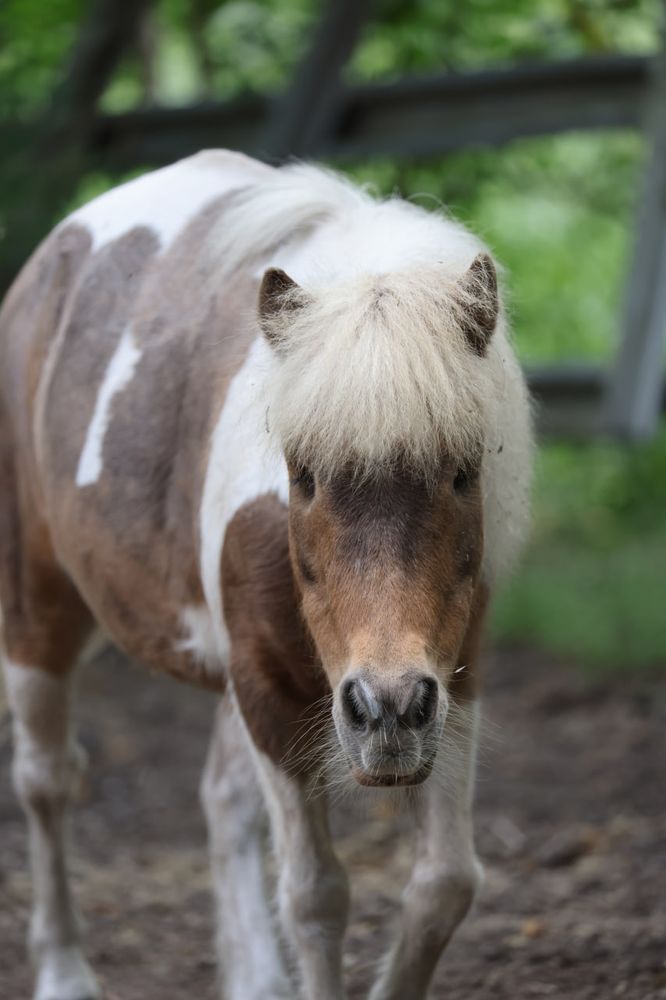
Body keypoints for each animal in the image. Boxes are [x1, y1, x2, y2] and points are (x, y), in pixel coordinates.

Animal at [0, 150, 532, 1000]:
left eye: (460, 472)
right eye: (304, 476)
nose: (385, 708)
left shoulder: (454, 683)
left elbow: (445, 883)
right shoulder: (271, 696)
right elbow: (316, 896)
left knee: (221, 801)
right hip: (36, 610)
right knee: (47, 781)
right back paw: (63, 971)